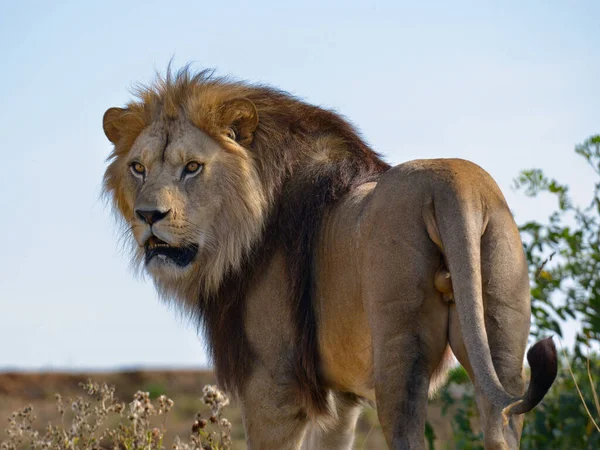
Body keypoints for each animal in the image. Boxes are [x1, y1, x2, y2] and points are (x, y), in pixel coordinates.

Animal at [103, 67, 556, 450]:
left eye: (193, 167)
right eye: (138, 168)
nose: (148, 216)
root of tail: (453, 185)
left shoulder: (273, 386)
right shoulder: (340, 397)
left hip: (398, 350)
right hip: (500, 329)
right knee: (501, 419)